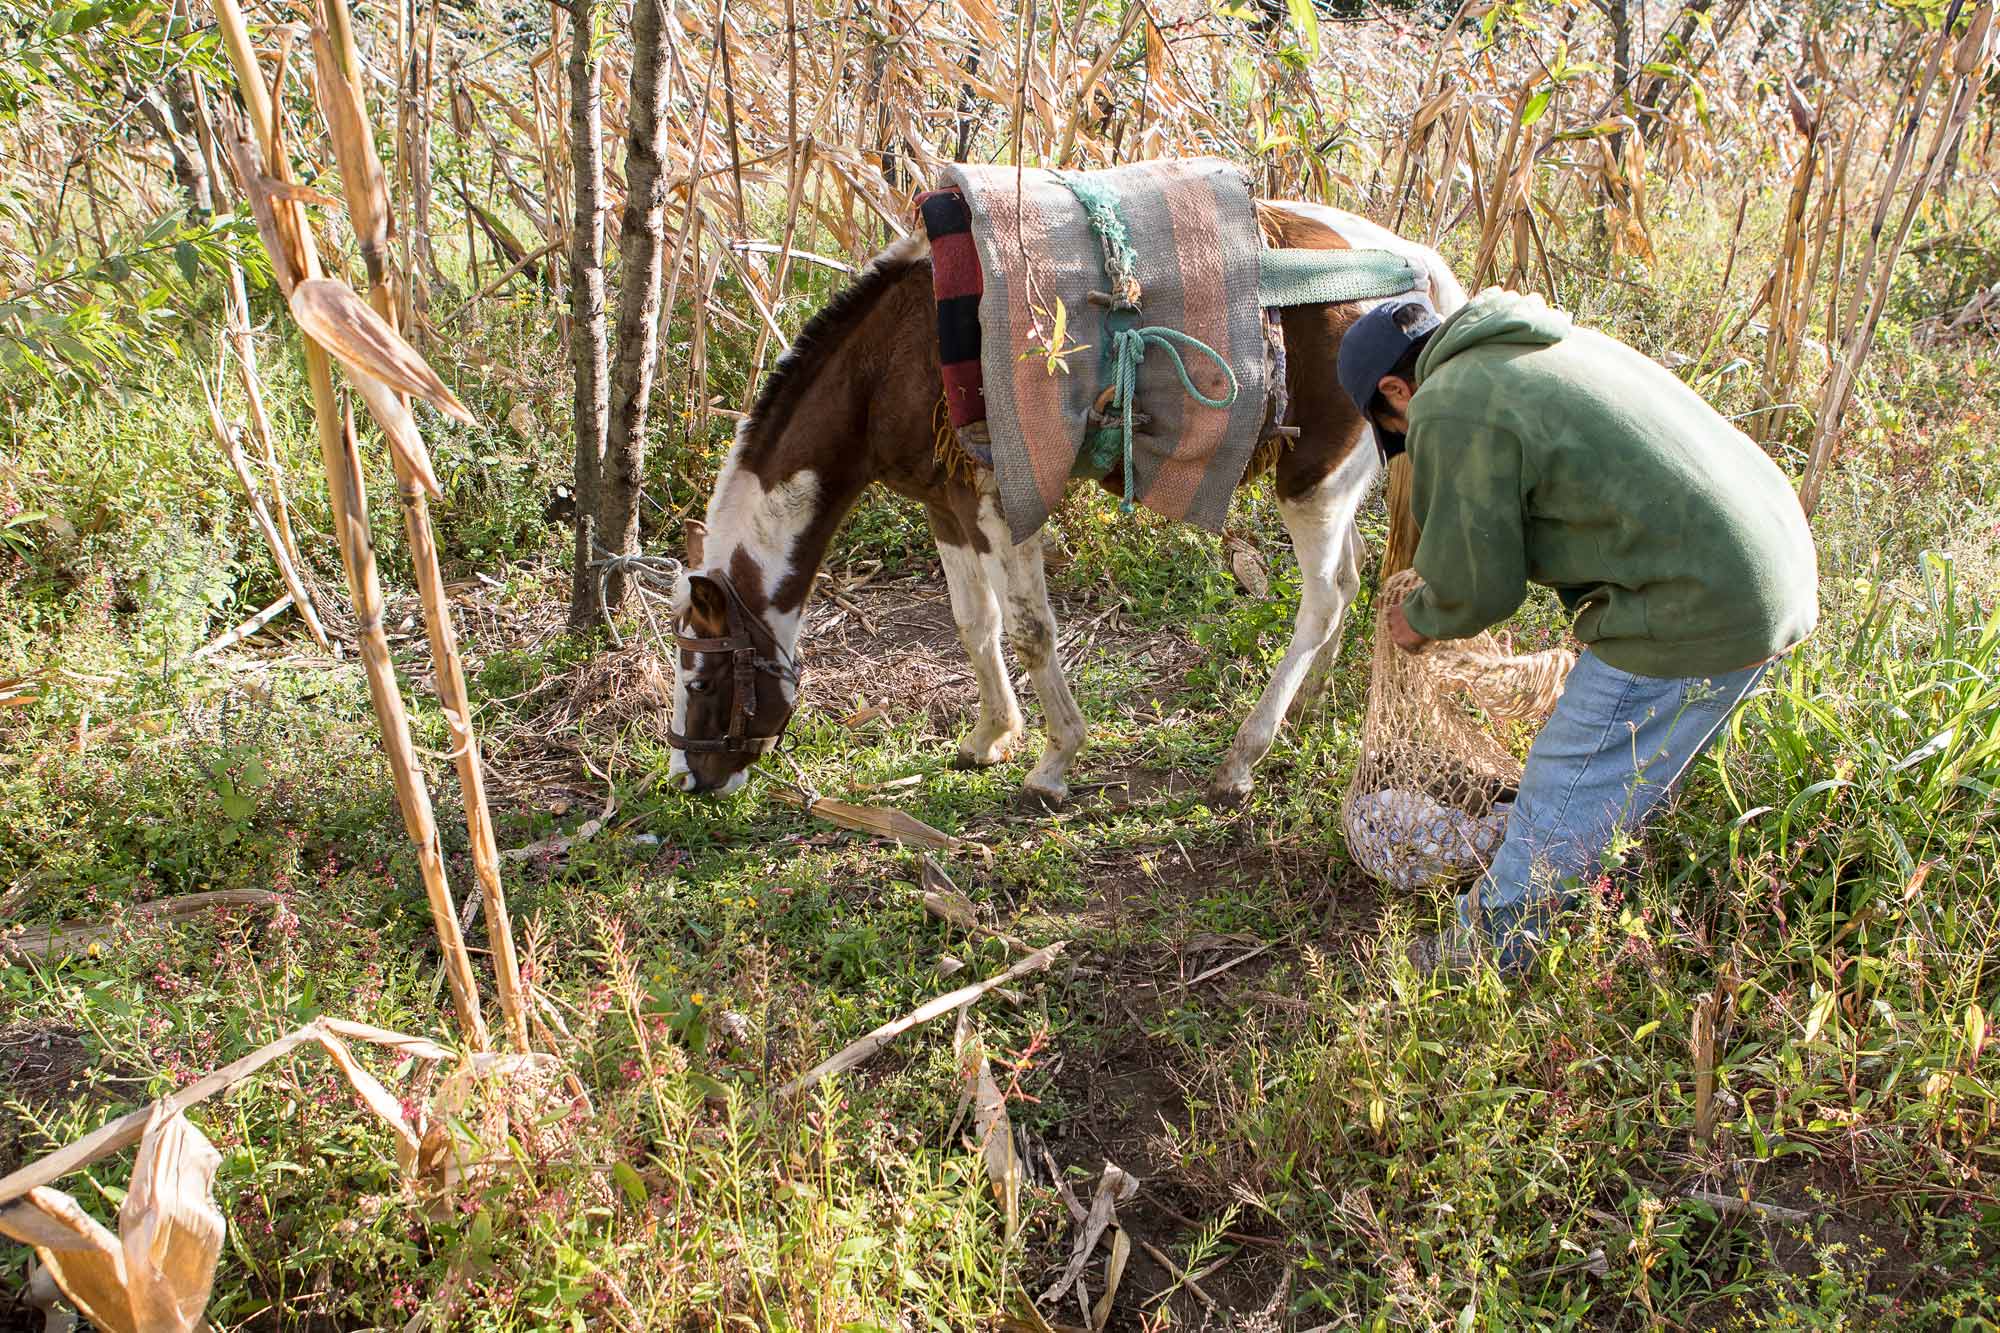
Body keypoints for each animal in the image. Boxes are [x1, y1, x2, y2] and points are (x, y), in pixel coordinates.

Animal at [664, 198, 1464, 804]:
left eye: (702, 675)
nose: (689, 780)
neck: (892, 357)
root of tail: (1415, 269)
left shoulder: (999, 500)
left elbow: (1030, 630)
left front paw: (1055, 762)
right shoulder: (943, 502)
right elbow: (974, 621)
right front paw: (989, 736)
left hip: (1311, 486)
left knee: (1322, 599)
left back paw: (1245, 754)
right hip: (1336, 486)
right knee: (1352, 579)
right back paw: (1309, 704)